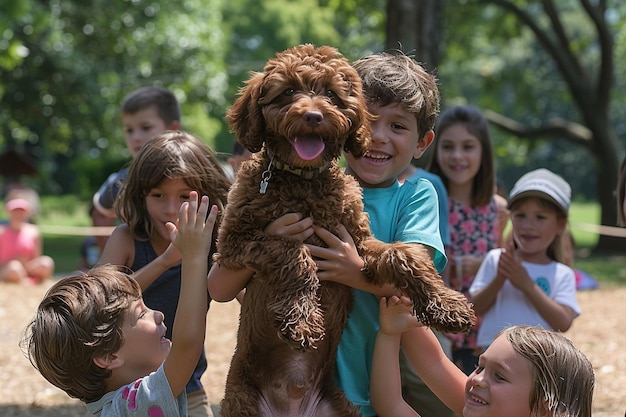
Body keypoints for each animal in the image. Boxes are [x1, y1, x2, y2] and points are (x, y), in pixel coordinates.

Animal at [212, 44, 470, 416]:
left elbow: (403, 254)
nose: (313, 116)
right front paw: (303, 319)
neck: (302, 181)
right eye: (288, 91)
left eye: (332, 95)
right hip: (242, 401)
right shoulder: (233, 242)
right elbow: (294, 254)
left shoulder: (358, 241)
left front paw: (447, 304)